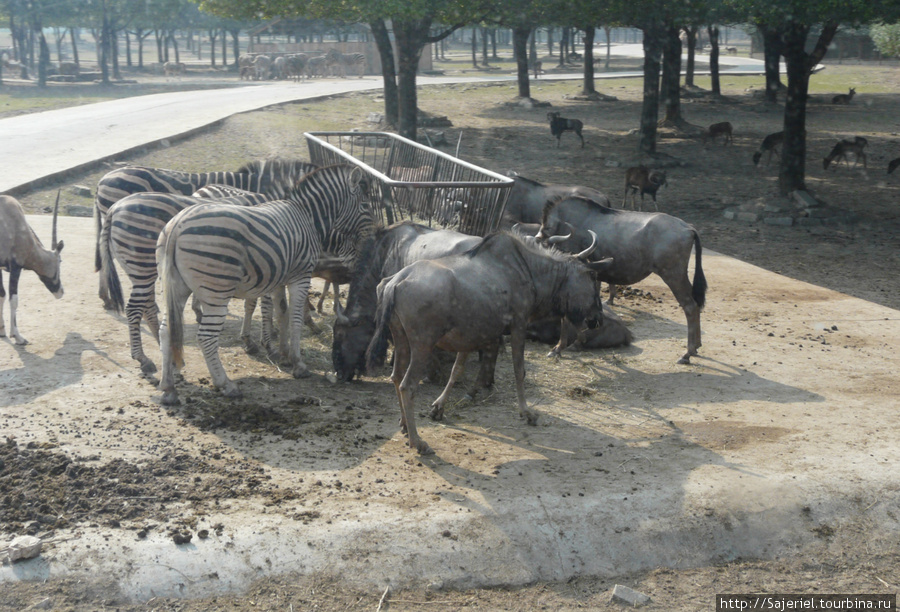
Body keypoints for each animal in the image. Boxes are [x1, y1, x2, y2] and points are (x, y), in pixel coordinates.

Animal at [0, 192, 64, 344]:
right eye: (60, 261)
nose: (61, 292)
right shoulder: (16, 266)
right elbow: (13, 300)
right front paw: (17, 336)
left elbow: (2, 295)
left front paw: (2, 331)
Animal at [156, 163, 374, 404]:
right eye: (365, 204)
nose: (374, 233)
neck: (307, 216)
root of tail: (177, 225)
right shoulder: (301, 275)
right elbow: (295, 318)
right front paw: (298, 364)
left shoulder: (280, 278)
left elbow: (282, 314)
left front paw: (283, 355)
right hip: (216, 291)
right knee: (206, 338)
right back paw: (226, 385)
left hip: (176, 287)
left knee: (165, 331)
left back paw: (168, 388)